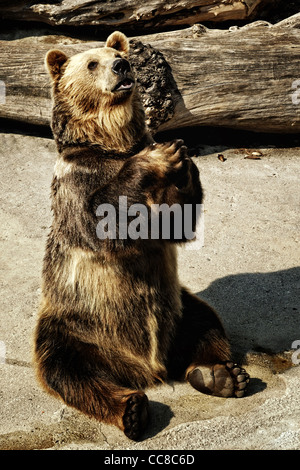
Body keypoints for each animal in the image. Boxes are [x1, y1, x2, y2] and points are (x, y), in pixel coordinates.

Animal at [34, 32, 250, 440]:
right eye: (92, 63)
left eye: (118, 54)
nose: (121, 66)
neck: (111, 142)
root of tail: (143, 368)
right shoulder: (77, 181)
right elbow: (104, 222)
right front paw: (160, 155)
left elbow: (174, 223)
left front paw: (180, 155)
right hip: (77, 323)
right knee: (66, 367)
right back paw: (132, 409)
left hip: (177, 307)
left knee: (206, 322)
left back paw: (220, 375)